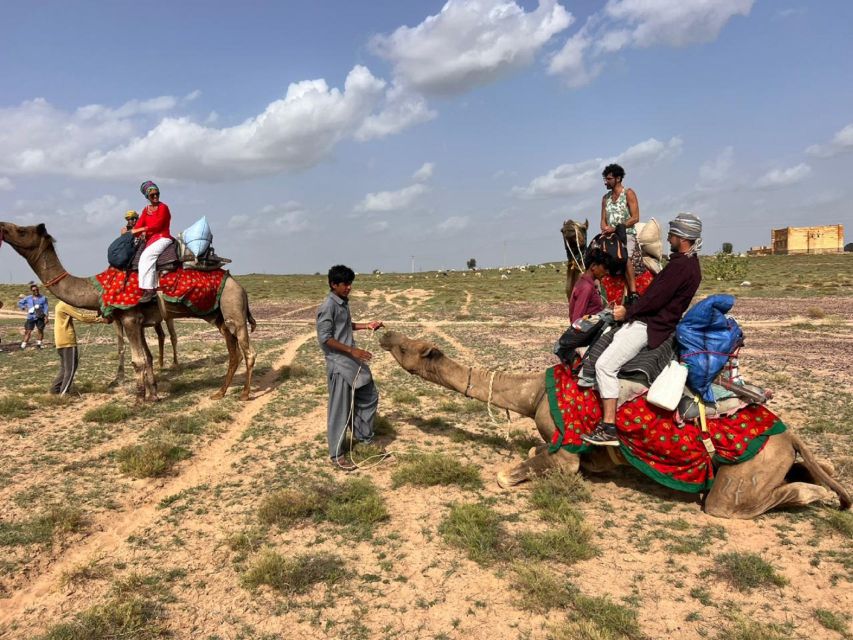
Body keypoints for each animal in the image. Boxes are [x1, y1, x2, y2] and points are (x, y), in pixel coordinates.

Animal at [0, 222, 255, 398]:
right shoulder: (137, 321)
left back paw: (244, 393)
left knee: (248, 351)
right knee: (233, 352)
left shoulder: (130, 318)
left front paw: (139, 399)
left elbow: (138, 360)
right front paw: (153, 394)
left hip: (233, 308)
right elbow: (147, 358)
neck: (98, 286)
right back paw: (220, 392)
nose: (2, 225)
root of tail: (237, 284)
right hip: (218, 316)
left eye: (22, 231)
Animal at [382, 330, 852, 520]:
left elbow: (511, 473)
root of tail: (789, 433)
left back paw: (820, 498)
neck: (531, 394)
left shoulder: (566, 447)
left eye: (412, 348)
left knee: (729, 503)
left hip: (746, 473)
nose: (385, 335)